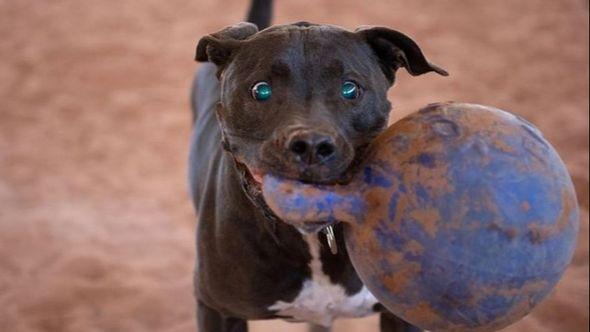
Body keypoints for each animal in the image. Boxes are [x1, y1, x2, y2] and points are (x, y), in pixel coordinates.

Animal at [190, 1, 448, 330]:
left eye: (350, 89)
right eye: (260, 90)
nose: (311, 144)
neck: (313, 238)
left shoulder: (400, 312)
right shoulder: (217, 309)